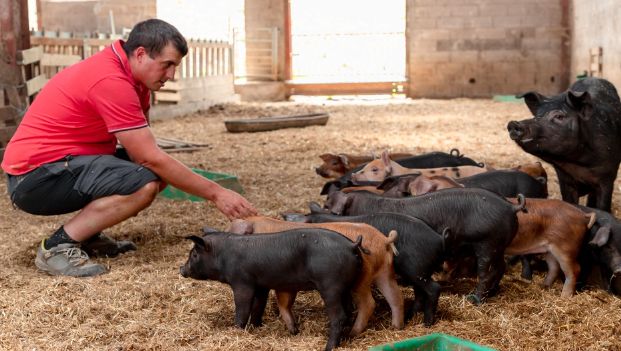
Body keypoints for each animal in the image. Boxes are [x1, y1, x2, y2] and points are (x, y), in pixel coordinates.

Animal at [506, 78, 620, 212]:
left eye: (559, 116)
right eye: (537, 115)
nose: (514, 124)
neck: (580, 163)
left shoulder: (607, 177)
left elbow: (603, 205)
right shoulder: (564, 178)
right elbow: (569, 201)